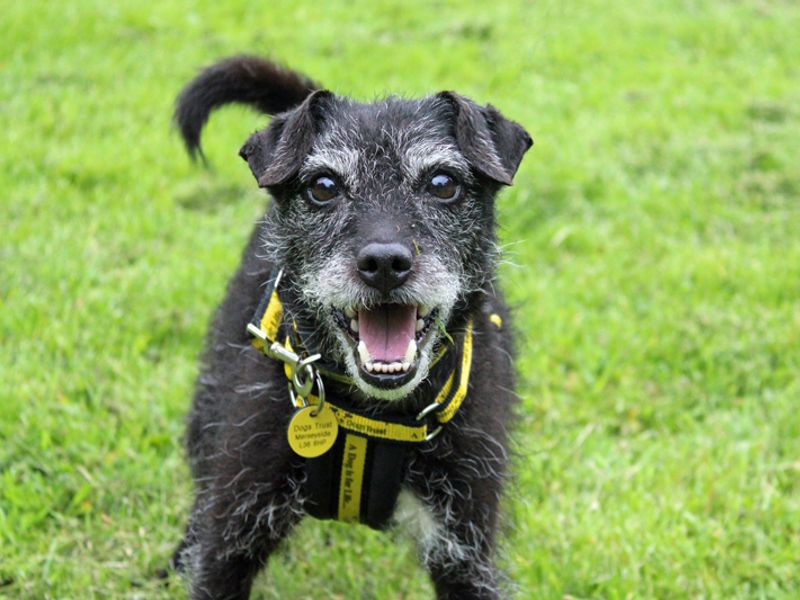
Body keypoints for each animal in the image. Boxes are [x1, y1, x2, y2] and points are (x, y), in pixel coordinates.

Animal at [170, 56, 532, 600]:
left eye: (442, 183)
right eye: (323, 187)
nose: (384, 263)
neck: (372, 412)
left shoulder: (464, 548)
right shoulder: (234, 532)